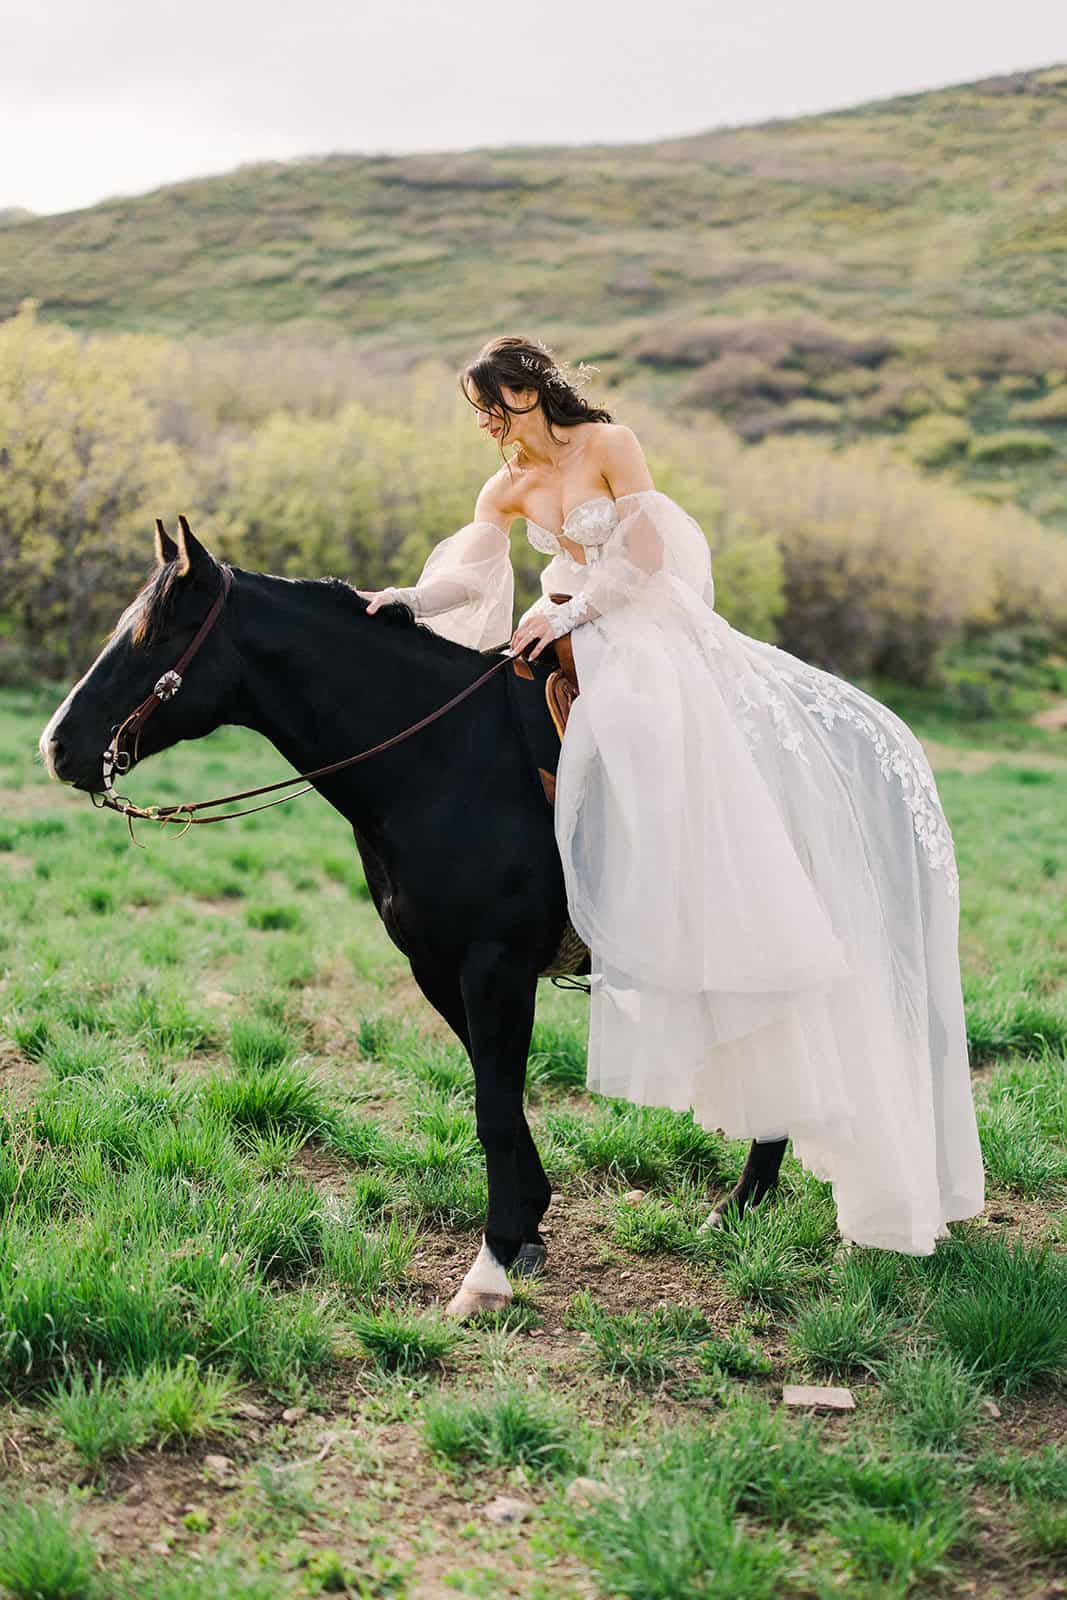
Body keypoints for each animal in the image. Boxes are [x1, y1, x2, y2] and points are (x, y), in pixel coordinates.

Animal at [39, 518, 783, 1318]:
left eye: (152, 633)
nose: (58, 746)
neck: (445, 760)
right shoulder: (435, 965)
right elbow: (498, 1099)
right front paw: (527, 1228)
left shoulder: (495, 967)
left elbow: (494, 1108)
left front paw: (490, 1267)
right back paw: (741, 1206)